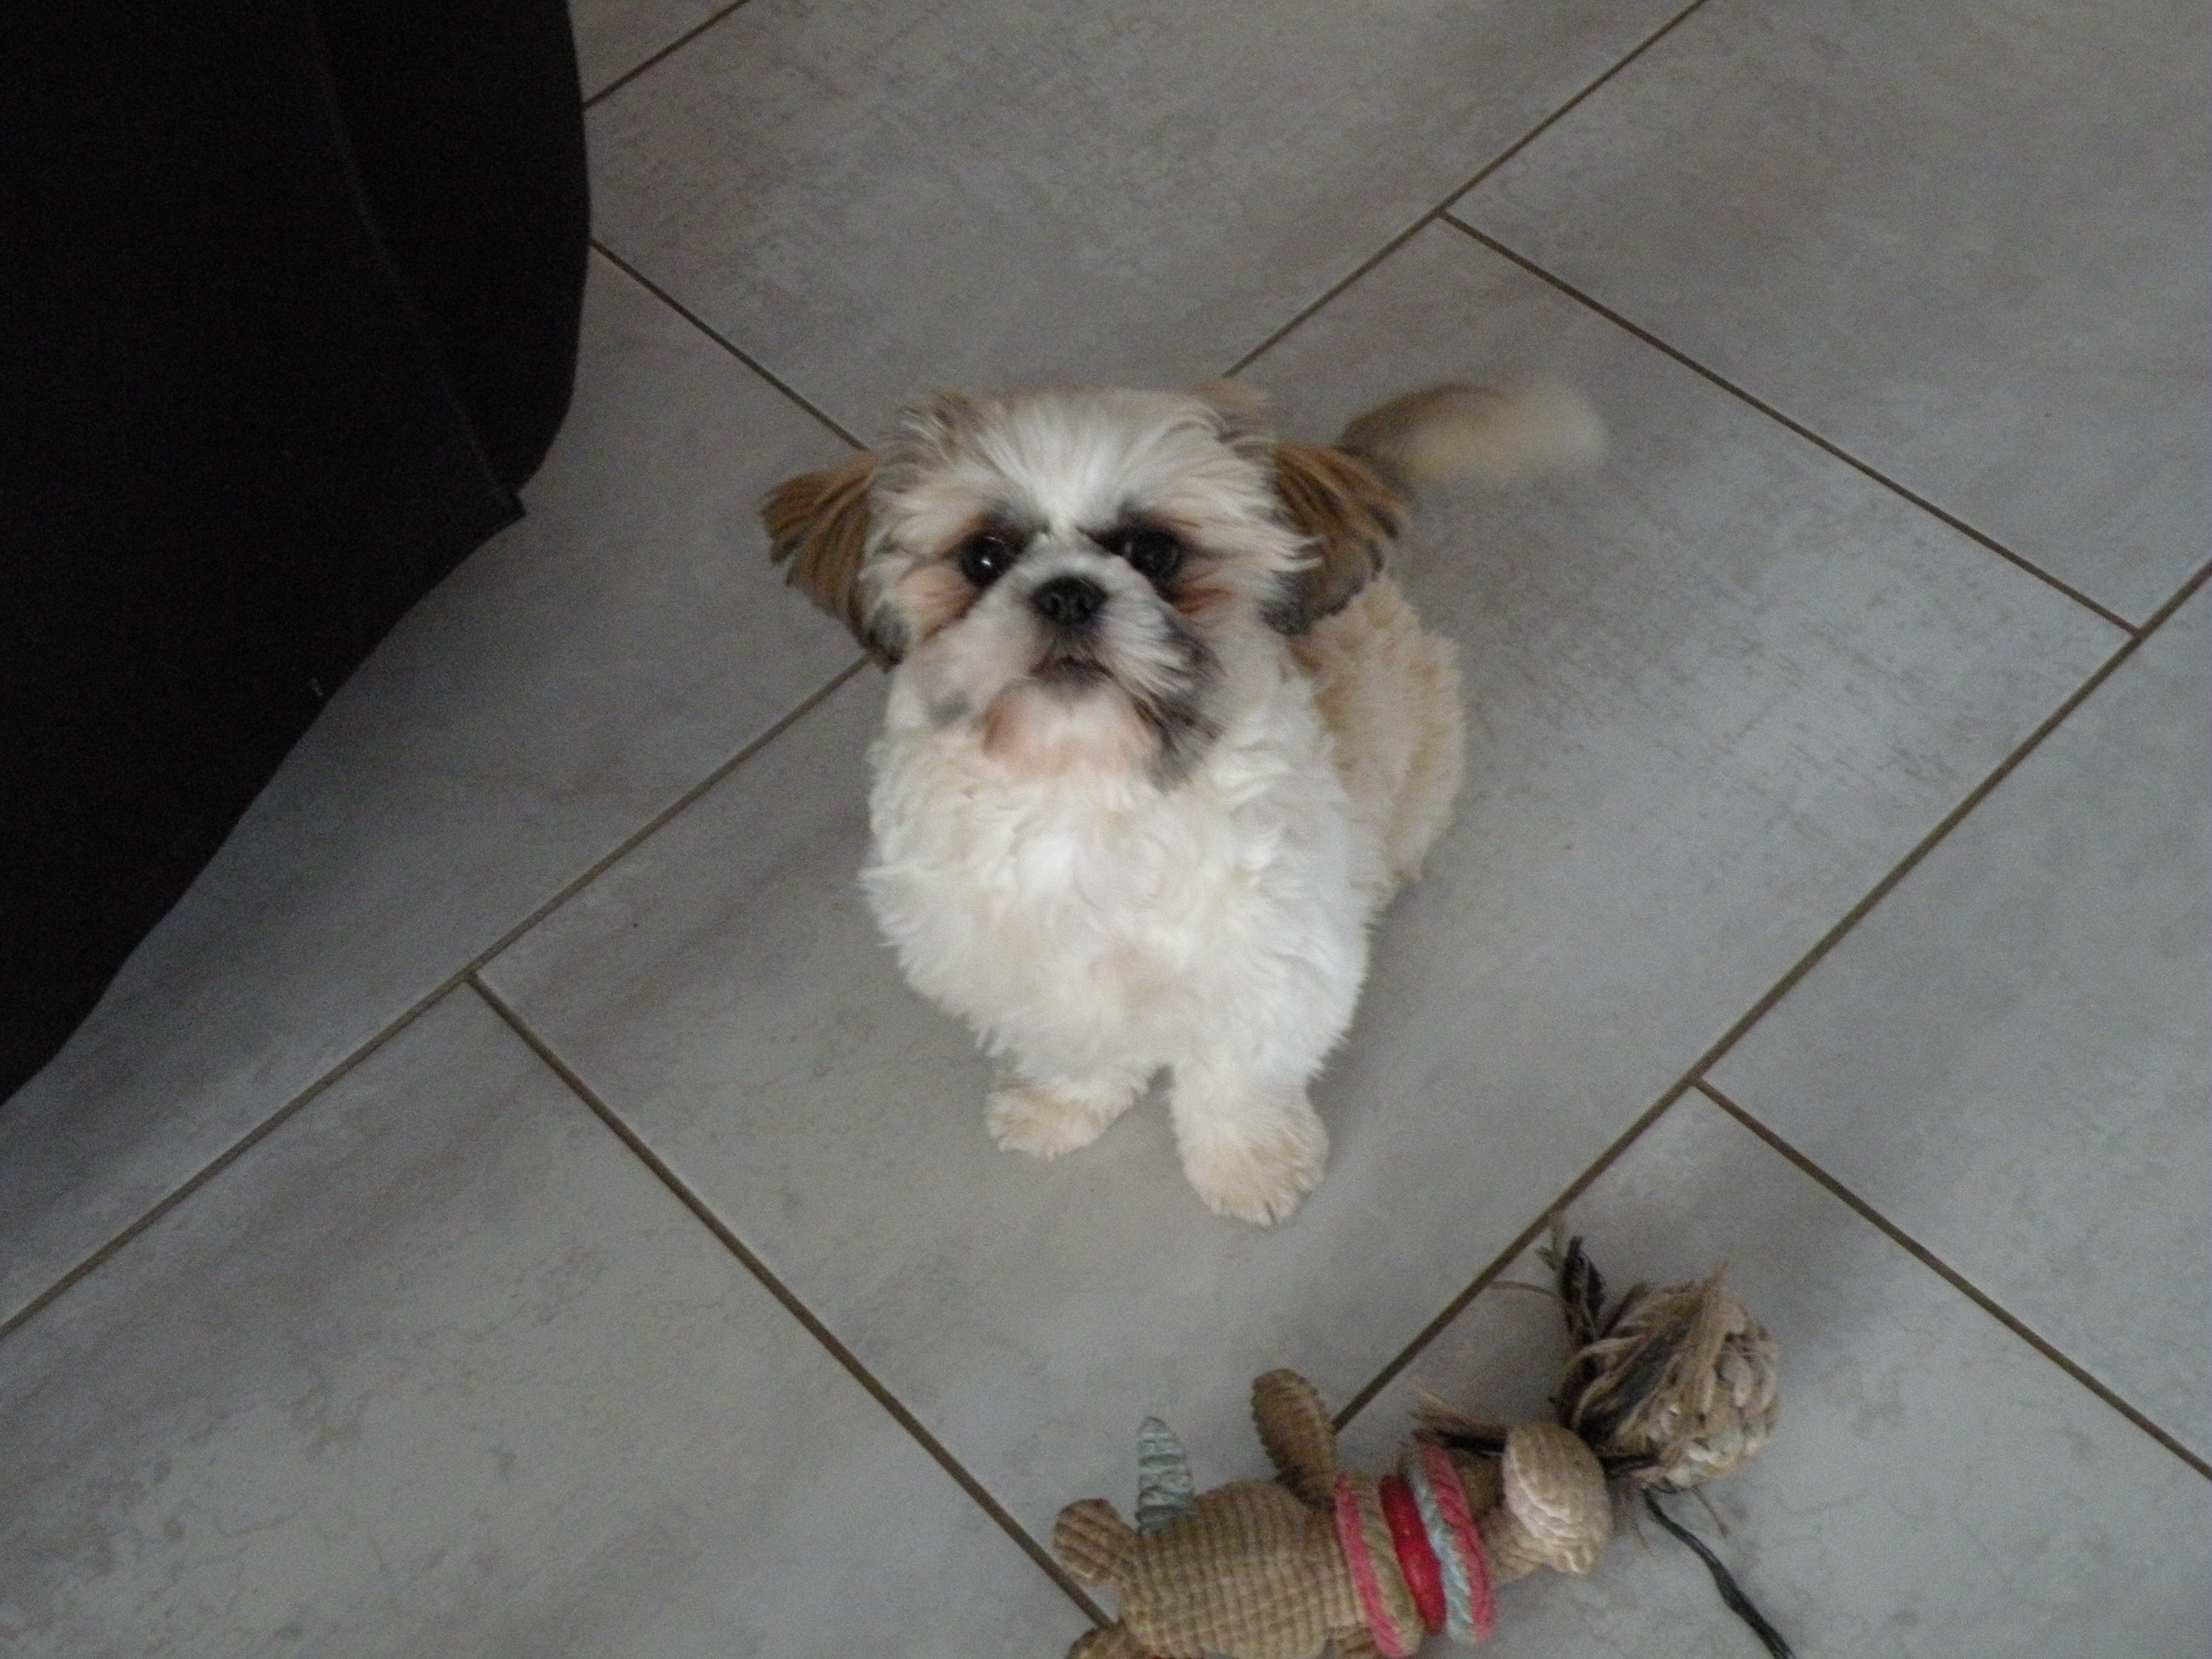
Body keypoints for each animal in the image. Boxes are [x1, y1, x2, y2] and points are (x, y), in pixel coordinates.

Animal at [762, 378, 1600, 1223]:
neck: (1087, 785)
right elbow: (1074, 1047)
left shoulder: (1269, 971)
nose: (1068, 594)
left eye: (1155, 554)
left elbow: (1236, 1084)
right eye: (984, 557)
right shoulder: (1027, 976)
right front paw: (1058, 1107)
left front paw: (1251, 1163)